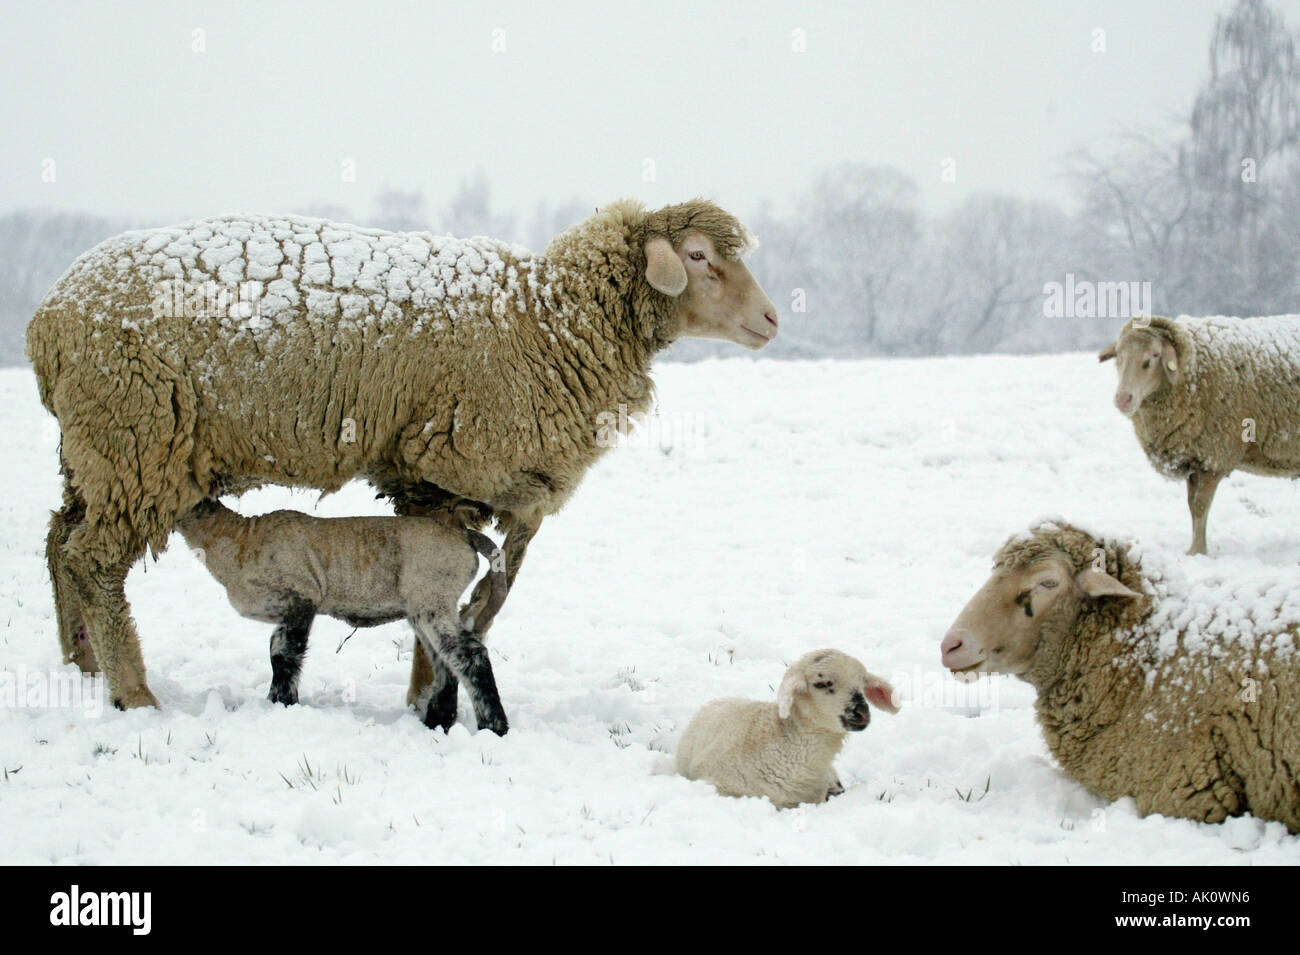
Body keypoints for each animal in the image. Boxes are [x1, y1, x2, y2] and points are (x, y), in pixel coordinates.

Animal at [27, 197, 780, 712]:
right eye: (698, 256)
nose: (772, 320)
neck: (548, 319)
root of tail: (47, 320)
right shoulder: (441, 467)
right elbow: (443, 598)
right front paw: (427, 700)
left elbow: (476, 600)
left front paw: (429, 695)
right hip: (135, 438)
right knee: (93, 560)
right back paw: (134, 694)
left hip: (95, 451)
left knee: (60, 541)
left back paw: (80, 670)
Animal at [175, 496, 509, 738]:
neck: (239, 539)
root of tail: (464, 535)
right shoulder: (285, 611)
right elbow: (276, 651)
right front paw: (277, 703)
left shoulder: (302, 598)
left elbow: (285, 656)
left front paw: (283, 705)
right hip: (422, 607)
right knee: (445, 660)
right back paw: (437, 722)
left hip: (432, 597)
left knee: (470, 654)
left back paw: (493, 727)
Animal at [1097, 315, 1300, 553]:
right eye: (1119, 354)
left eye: (1155, 355)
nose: (1123, 399)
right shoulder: (1193, 457)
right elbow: (1191, 506)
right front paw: (1195, 549)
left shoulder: (1214, 456)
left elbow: (1201, 505)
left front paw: (1198, 551)